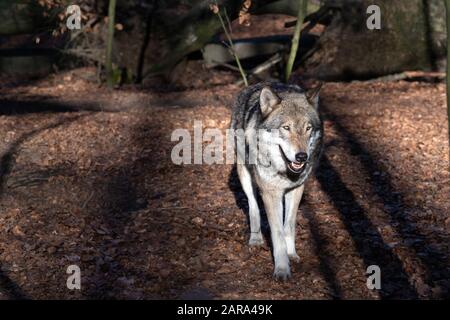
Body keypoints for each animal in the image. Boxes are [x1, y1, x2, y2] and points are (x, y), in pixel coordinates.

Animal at [230, 82, 322, 280]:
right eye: (286, 128)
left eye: (308, 128)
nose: (302, 156)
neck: (285, 171)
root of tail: (252, 86)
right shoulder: (271, 194)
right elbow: (277, 232)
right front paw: (281, 269)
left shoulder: (296, 189)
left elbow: (289, 226)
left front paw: (291, 254)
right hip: (245, 175)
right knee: (253, 206)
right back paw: (256, 238)